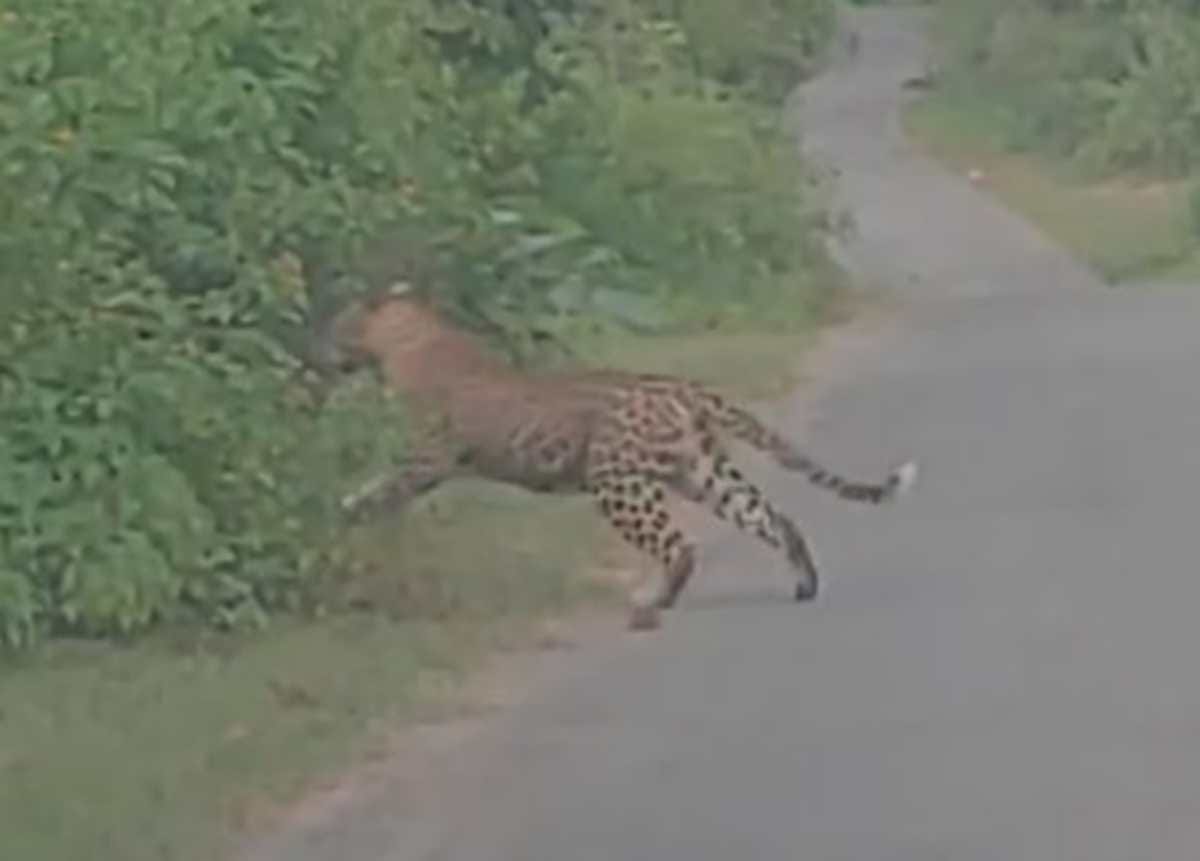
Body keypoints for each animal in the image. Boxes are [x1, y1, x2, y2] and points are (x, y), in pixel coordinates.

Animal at [311, 283, 918, 631]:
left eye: (339, 323)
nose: (316, 349)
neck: (403, 342)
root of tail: (683, 386)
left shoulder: (425, 460)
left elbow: (380, 490)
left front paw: (344, 515)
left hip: (618, 482)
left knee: (682, 544)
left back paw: (651, 606)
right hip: (700, 471)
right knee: (772, 516)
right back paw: (803, 585)